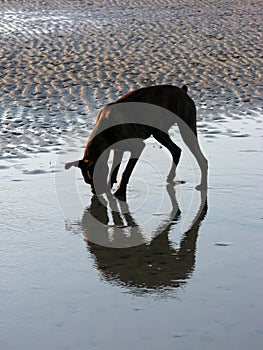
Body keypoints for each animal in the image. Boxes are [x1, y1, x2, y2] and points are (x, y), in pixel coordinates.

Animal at [64, 84, 208, 200]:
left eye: (97, 177)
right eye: (88, 182)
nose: (95, 193)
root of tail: (183, 91)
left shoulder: (137, 147)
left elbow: (126, 171)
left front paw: (120, 193)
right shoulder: (118, 150)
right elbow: (114, 170)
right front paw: (110, 187)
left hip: (185, 131)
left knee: (201, 159)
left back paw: (202, 185)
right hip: (159, 133)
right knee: (176, 150)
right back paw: (170, 177)